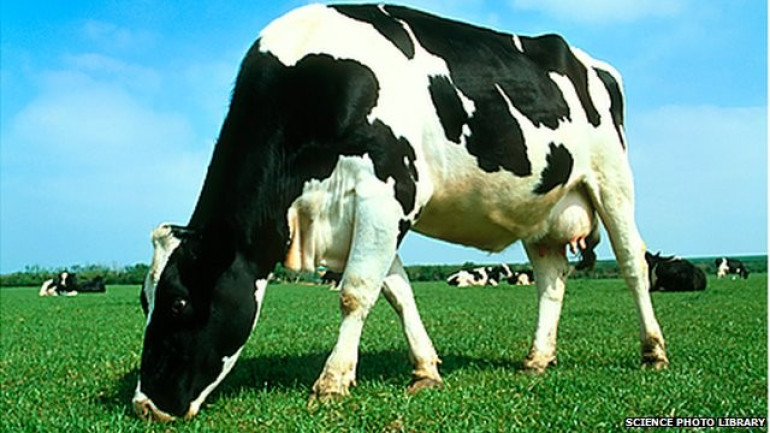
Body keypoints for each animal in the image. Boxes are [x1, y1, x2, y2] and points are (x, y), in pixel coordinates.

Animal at [133, 4, 668, 421]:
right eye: (144, 302)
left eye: (179, 301)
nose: (145, 405)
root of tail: (585, 59)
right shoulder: (371, 212)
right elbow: (397, 293)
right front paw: (425, 369)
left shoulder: (385, 192)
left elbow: (355, 293)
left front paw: (332, 382)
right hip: (542, 207)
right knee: (552, 281)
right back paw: (538, 358)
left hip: (613, 183)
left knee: (632, 264)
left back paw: (653, 350)